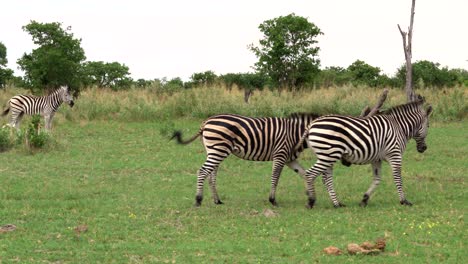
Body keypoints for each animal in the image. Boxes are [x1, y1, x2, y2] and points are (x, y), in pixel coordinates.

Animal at [170, 112, 320, 207]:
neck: (295, 133)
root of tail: (206, 122)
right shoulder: (280, 154)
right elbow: (275, 177)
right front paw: (272, 200)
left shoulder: (289, 159)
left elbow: (304, 173)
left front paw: (309, 194)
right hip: (218, 150)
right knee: (202, 172)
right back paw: (198, 200)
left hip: (213, 151)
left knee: (211, 176)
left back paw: (217, 201)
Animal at [302, 99, 434, 208]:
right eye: (428, 126)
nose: (424, 148)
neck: (399, 127)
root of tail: (312, 124)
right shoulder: (395, 154)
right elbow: (398, 178)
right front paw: (404, 201)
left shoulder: (376, 159)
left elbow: (377, 179)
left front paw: (364, 199)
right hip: (328, 155)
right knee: (310, 174)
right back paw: (311, 201)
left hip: (327, 155)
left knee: (326, 178)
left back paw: (337, 203)